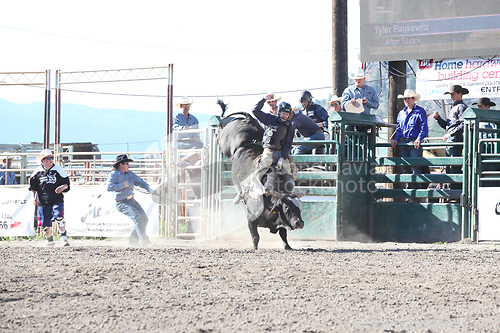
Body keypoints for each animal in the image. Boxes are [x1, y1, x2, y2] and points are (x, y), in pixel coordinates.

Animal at [217, 111, 306, 249]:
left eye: (300, 207)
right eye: (286, 207)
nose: (300, 223)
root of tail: (248, 118)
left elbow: (283, 234)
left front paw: (288, 246)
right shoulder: (250, 219)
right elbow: (255, 236)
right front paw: (255, 248)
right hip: (225, 144)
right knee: (221, 136)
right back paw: (219, 124)